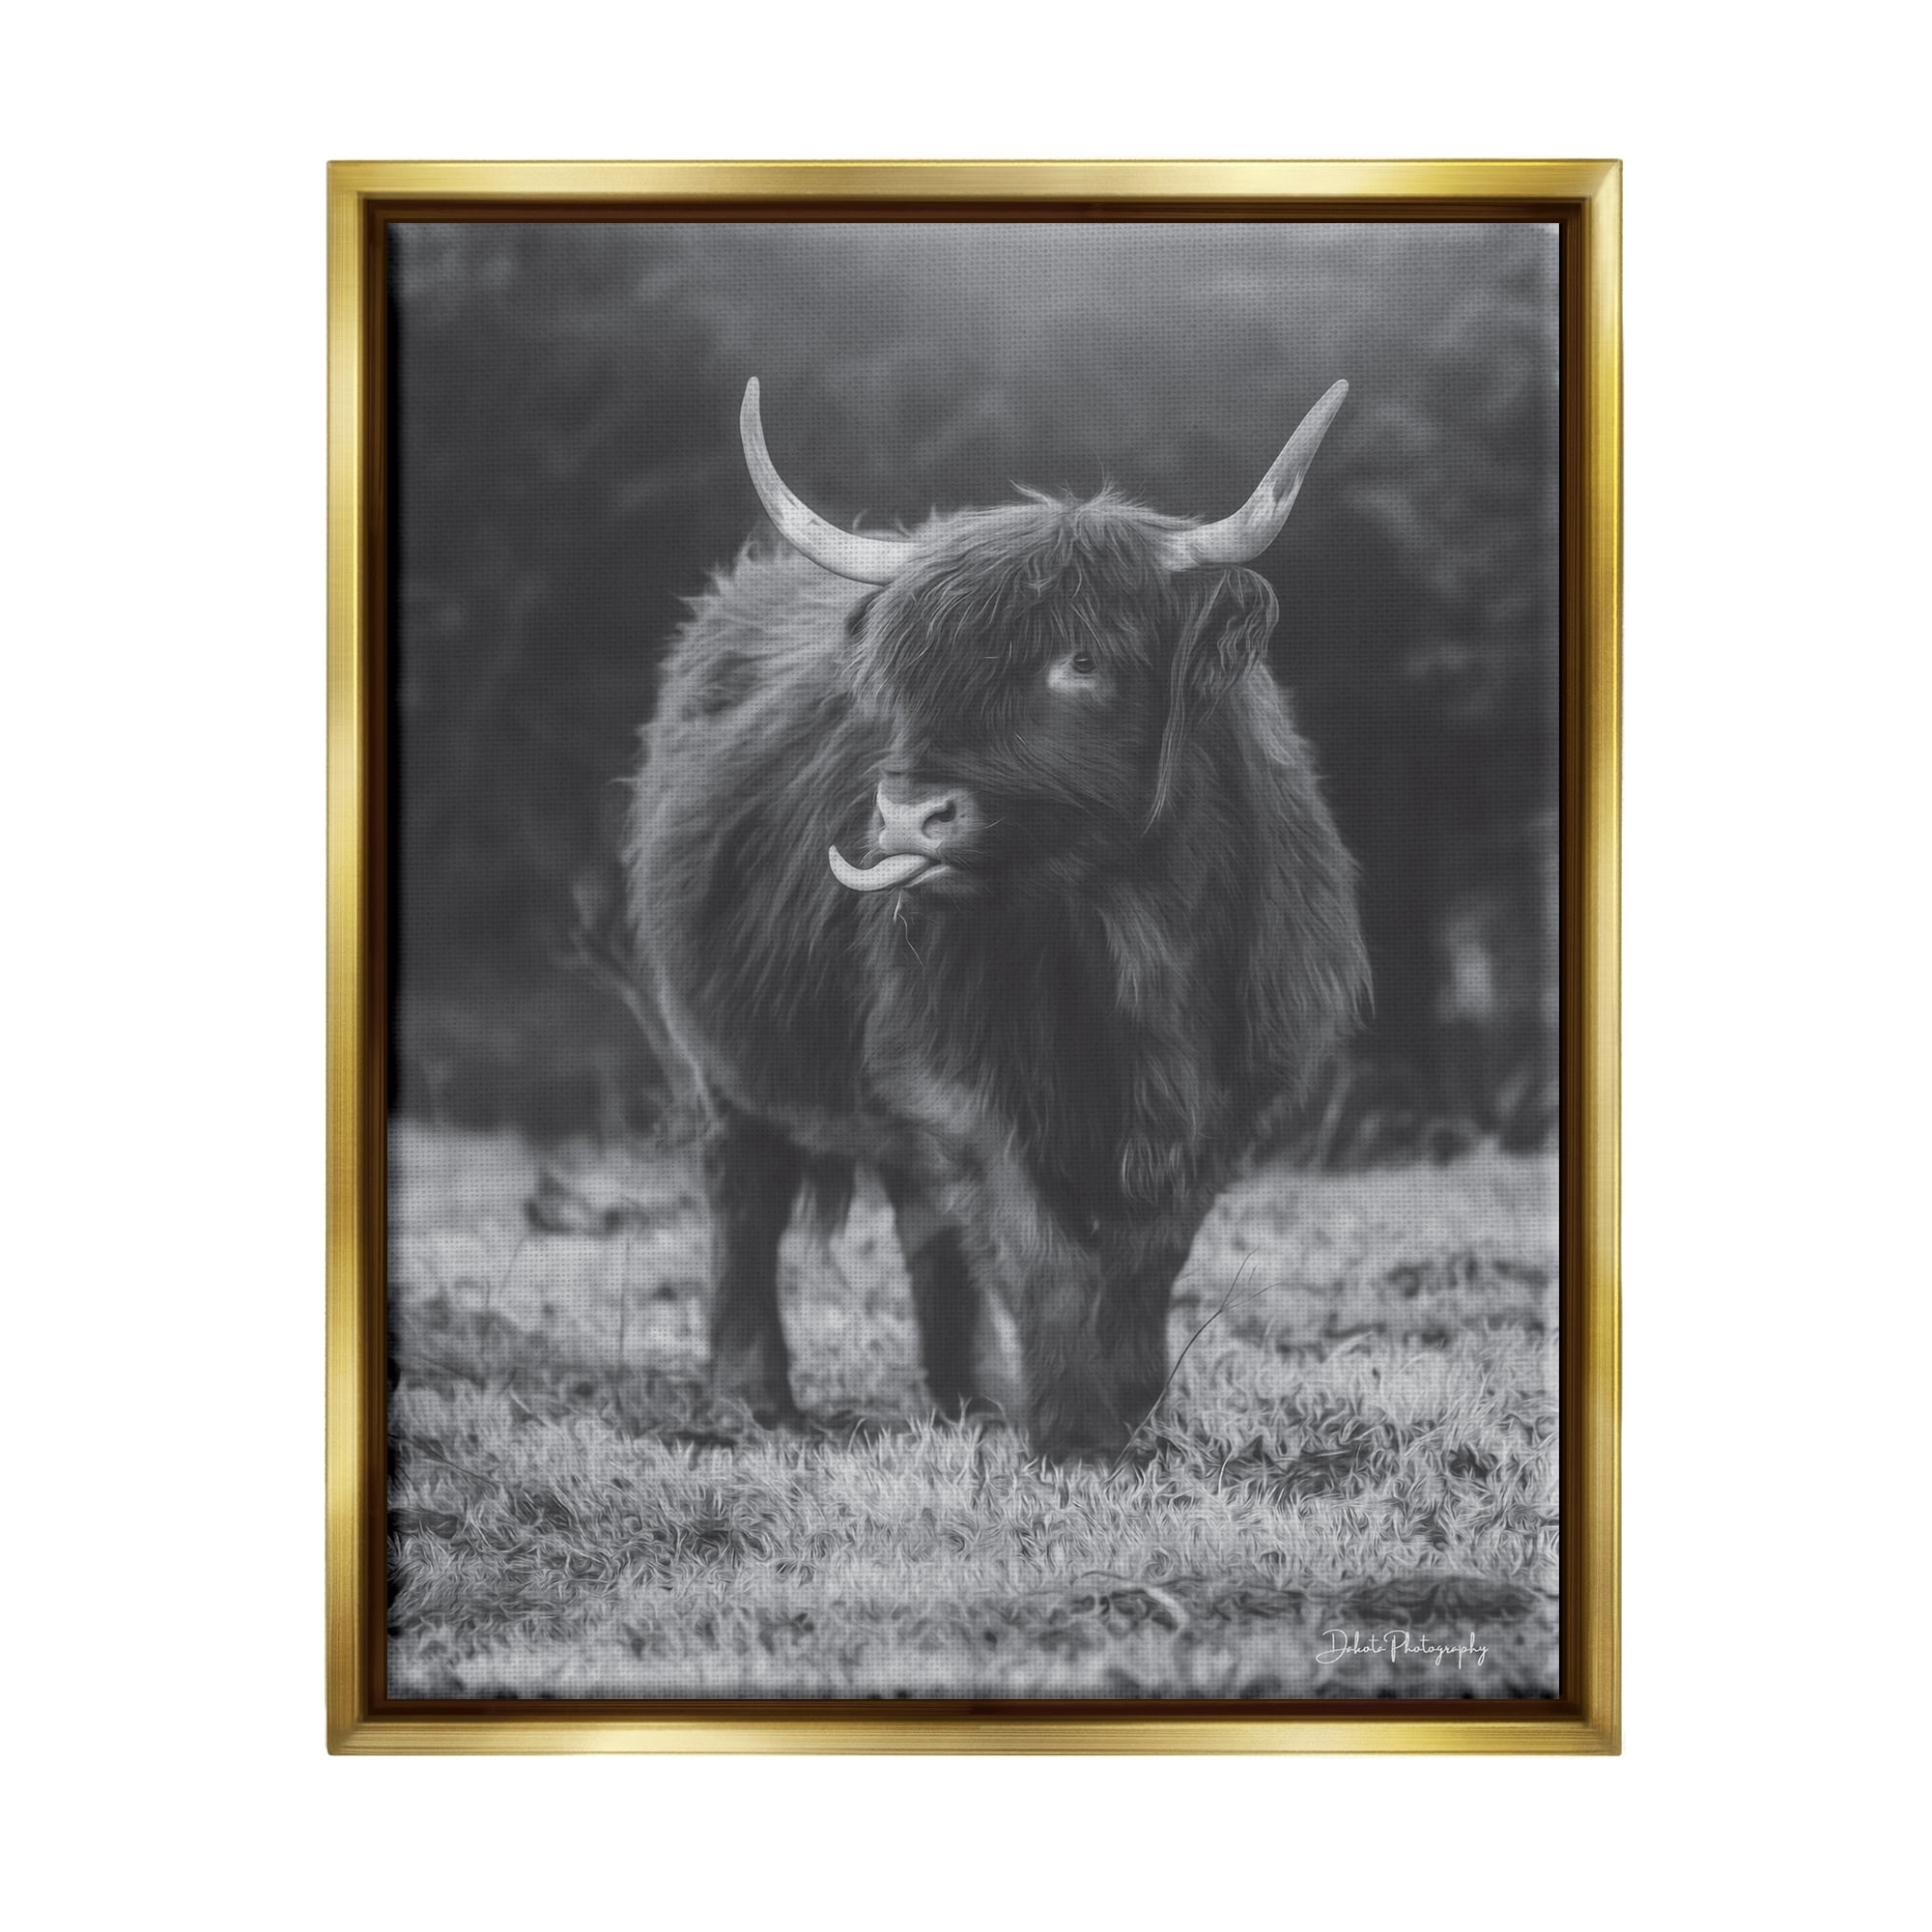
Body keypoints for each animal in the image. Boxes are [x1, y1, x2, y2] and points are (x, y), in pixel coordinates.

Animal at [626, 379, 1369, 1459]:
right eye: (909, 671)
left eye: (1082, 659)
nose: (905, 816)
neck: (1127, 934)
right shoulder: (949, 1070)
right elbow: (1037, 1241)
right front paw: (1071, 1425)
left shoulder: (1235, 1088)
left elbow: (1148, 1251)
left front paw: (1130, 1406)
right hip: (722, 1056)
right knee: (746, 1194)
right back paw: (751, 1397)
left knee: (921, 1220)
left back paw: (966, 1395)